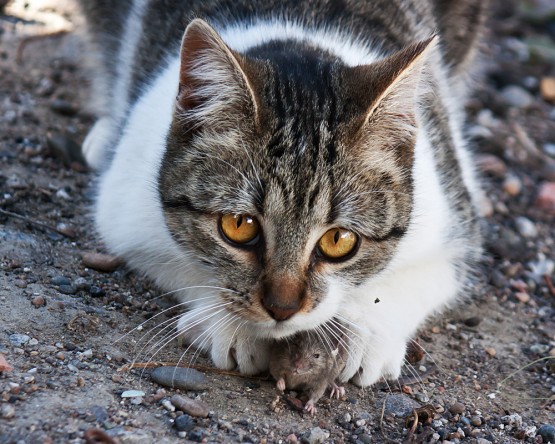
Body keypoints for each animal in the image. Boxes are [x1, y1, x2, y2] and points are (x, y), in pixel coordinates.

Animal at [79, 0, 490, 386]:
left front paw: (366, 332)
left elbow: (422, 276)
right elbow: (177, 262)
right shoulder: (125, 210)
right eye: (239, 225)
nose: (282, 308)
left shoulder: (452, 215)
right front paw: (232, 326)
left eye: (340, 240)